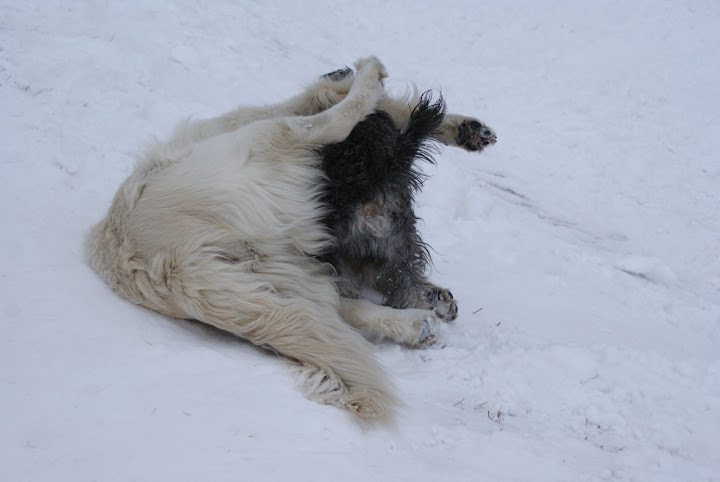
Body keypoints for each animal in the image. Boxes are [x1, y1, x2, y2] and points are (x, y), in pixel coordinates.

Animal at [86, 57, 496, 423]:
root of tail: (159, 265)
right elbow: (356, 104)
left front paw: (462, 129)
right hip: (268, 145)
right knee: (333, 121)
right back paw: (368, 74)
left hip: (273, 269)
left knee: (333, 306)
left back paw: (416, 324)